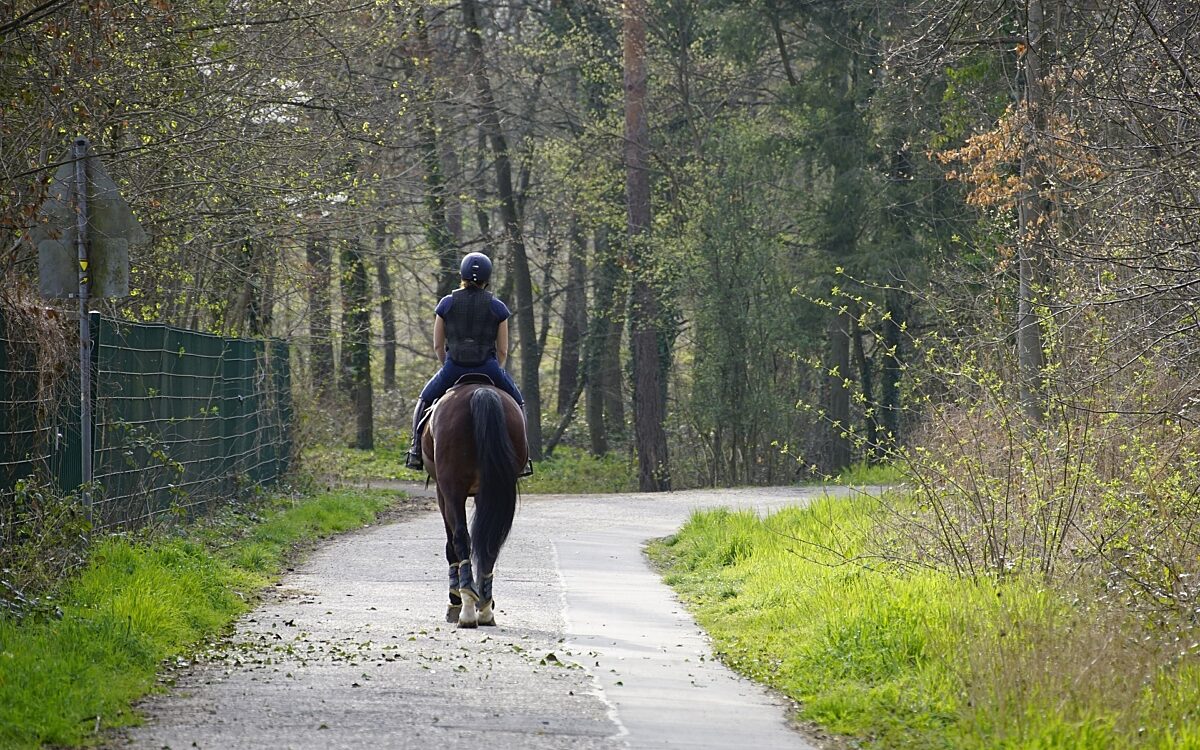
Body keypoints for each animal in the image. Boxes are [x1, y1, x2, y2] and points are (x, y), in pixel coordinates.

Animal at [420, 377, 527, 628]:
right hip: (494, 488)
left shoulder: (442, 493)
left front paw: (454, 602)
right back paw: (485, 607)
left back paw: (467, 607)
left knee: (460, 538)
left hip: (452, 489)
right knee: (491, 542)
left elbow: (451, 546)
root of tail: (481, 392)